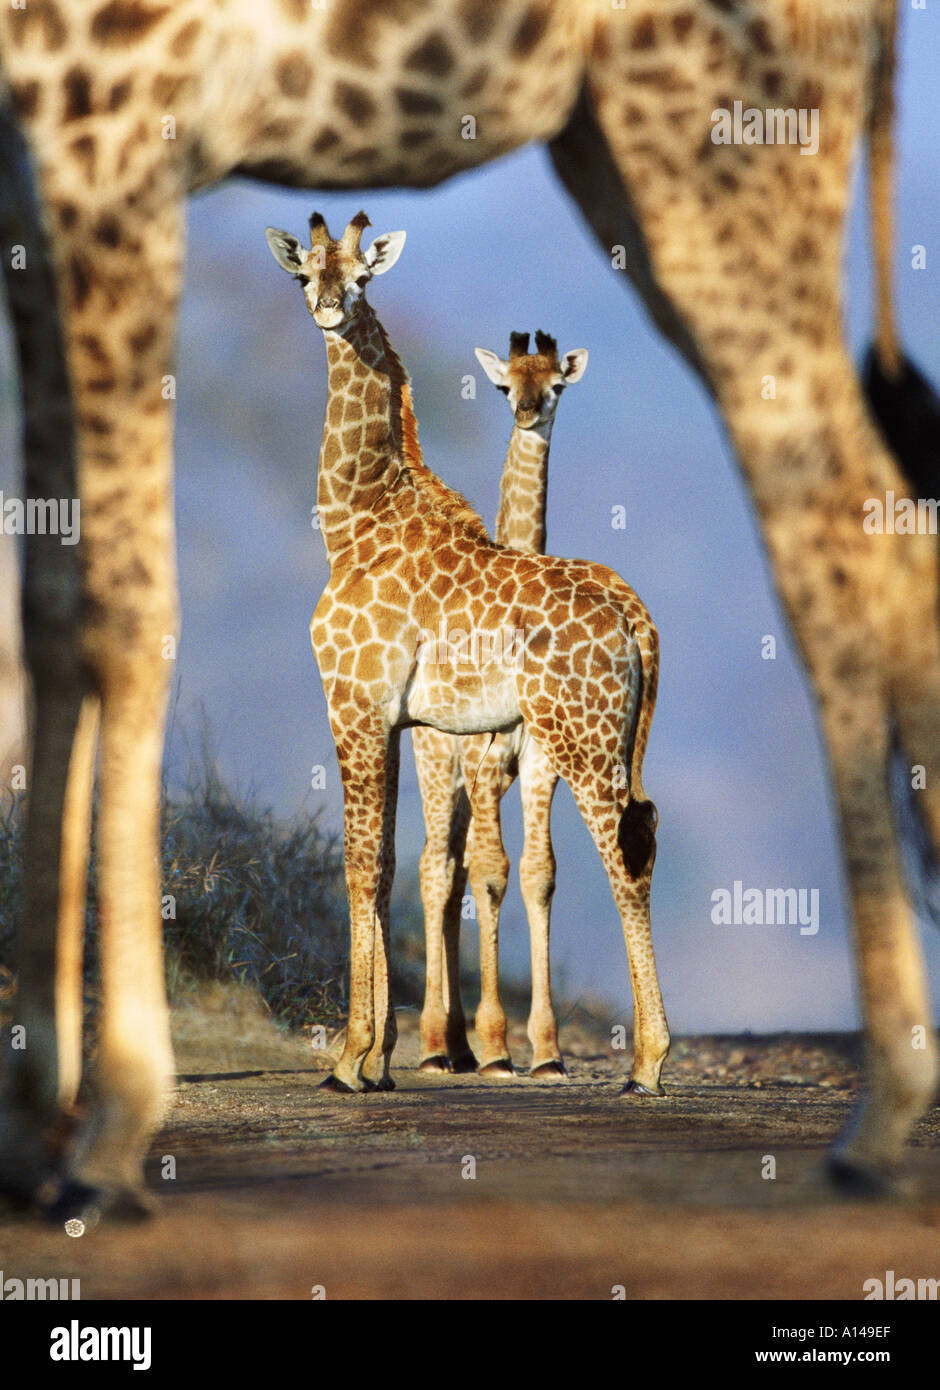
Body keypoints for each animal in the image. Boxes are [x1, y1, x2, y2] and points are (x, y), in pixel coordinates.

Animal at [0, 0, 934, 1212]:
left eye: (358, 268)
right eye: (307, 267)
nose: (327, 303)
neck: (360, 514)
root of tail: (638, 627)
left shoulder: (365, 704)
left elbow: (376, 860)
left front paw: (353, 1060)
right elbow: (412, 864)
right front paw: (388, 1053)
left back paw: (718, 1076)